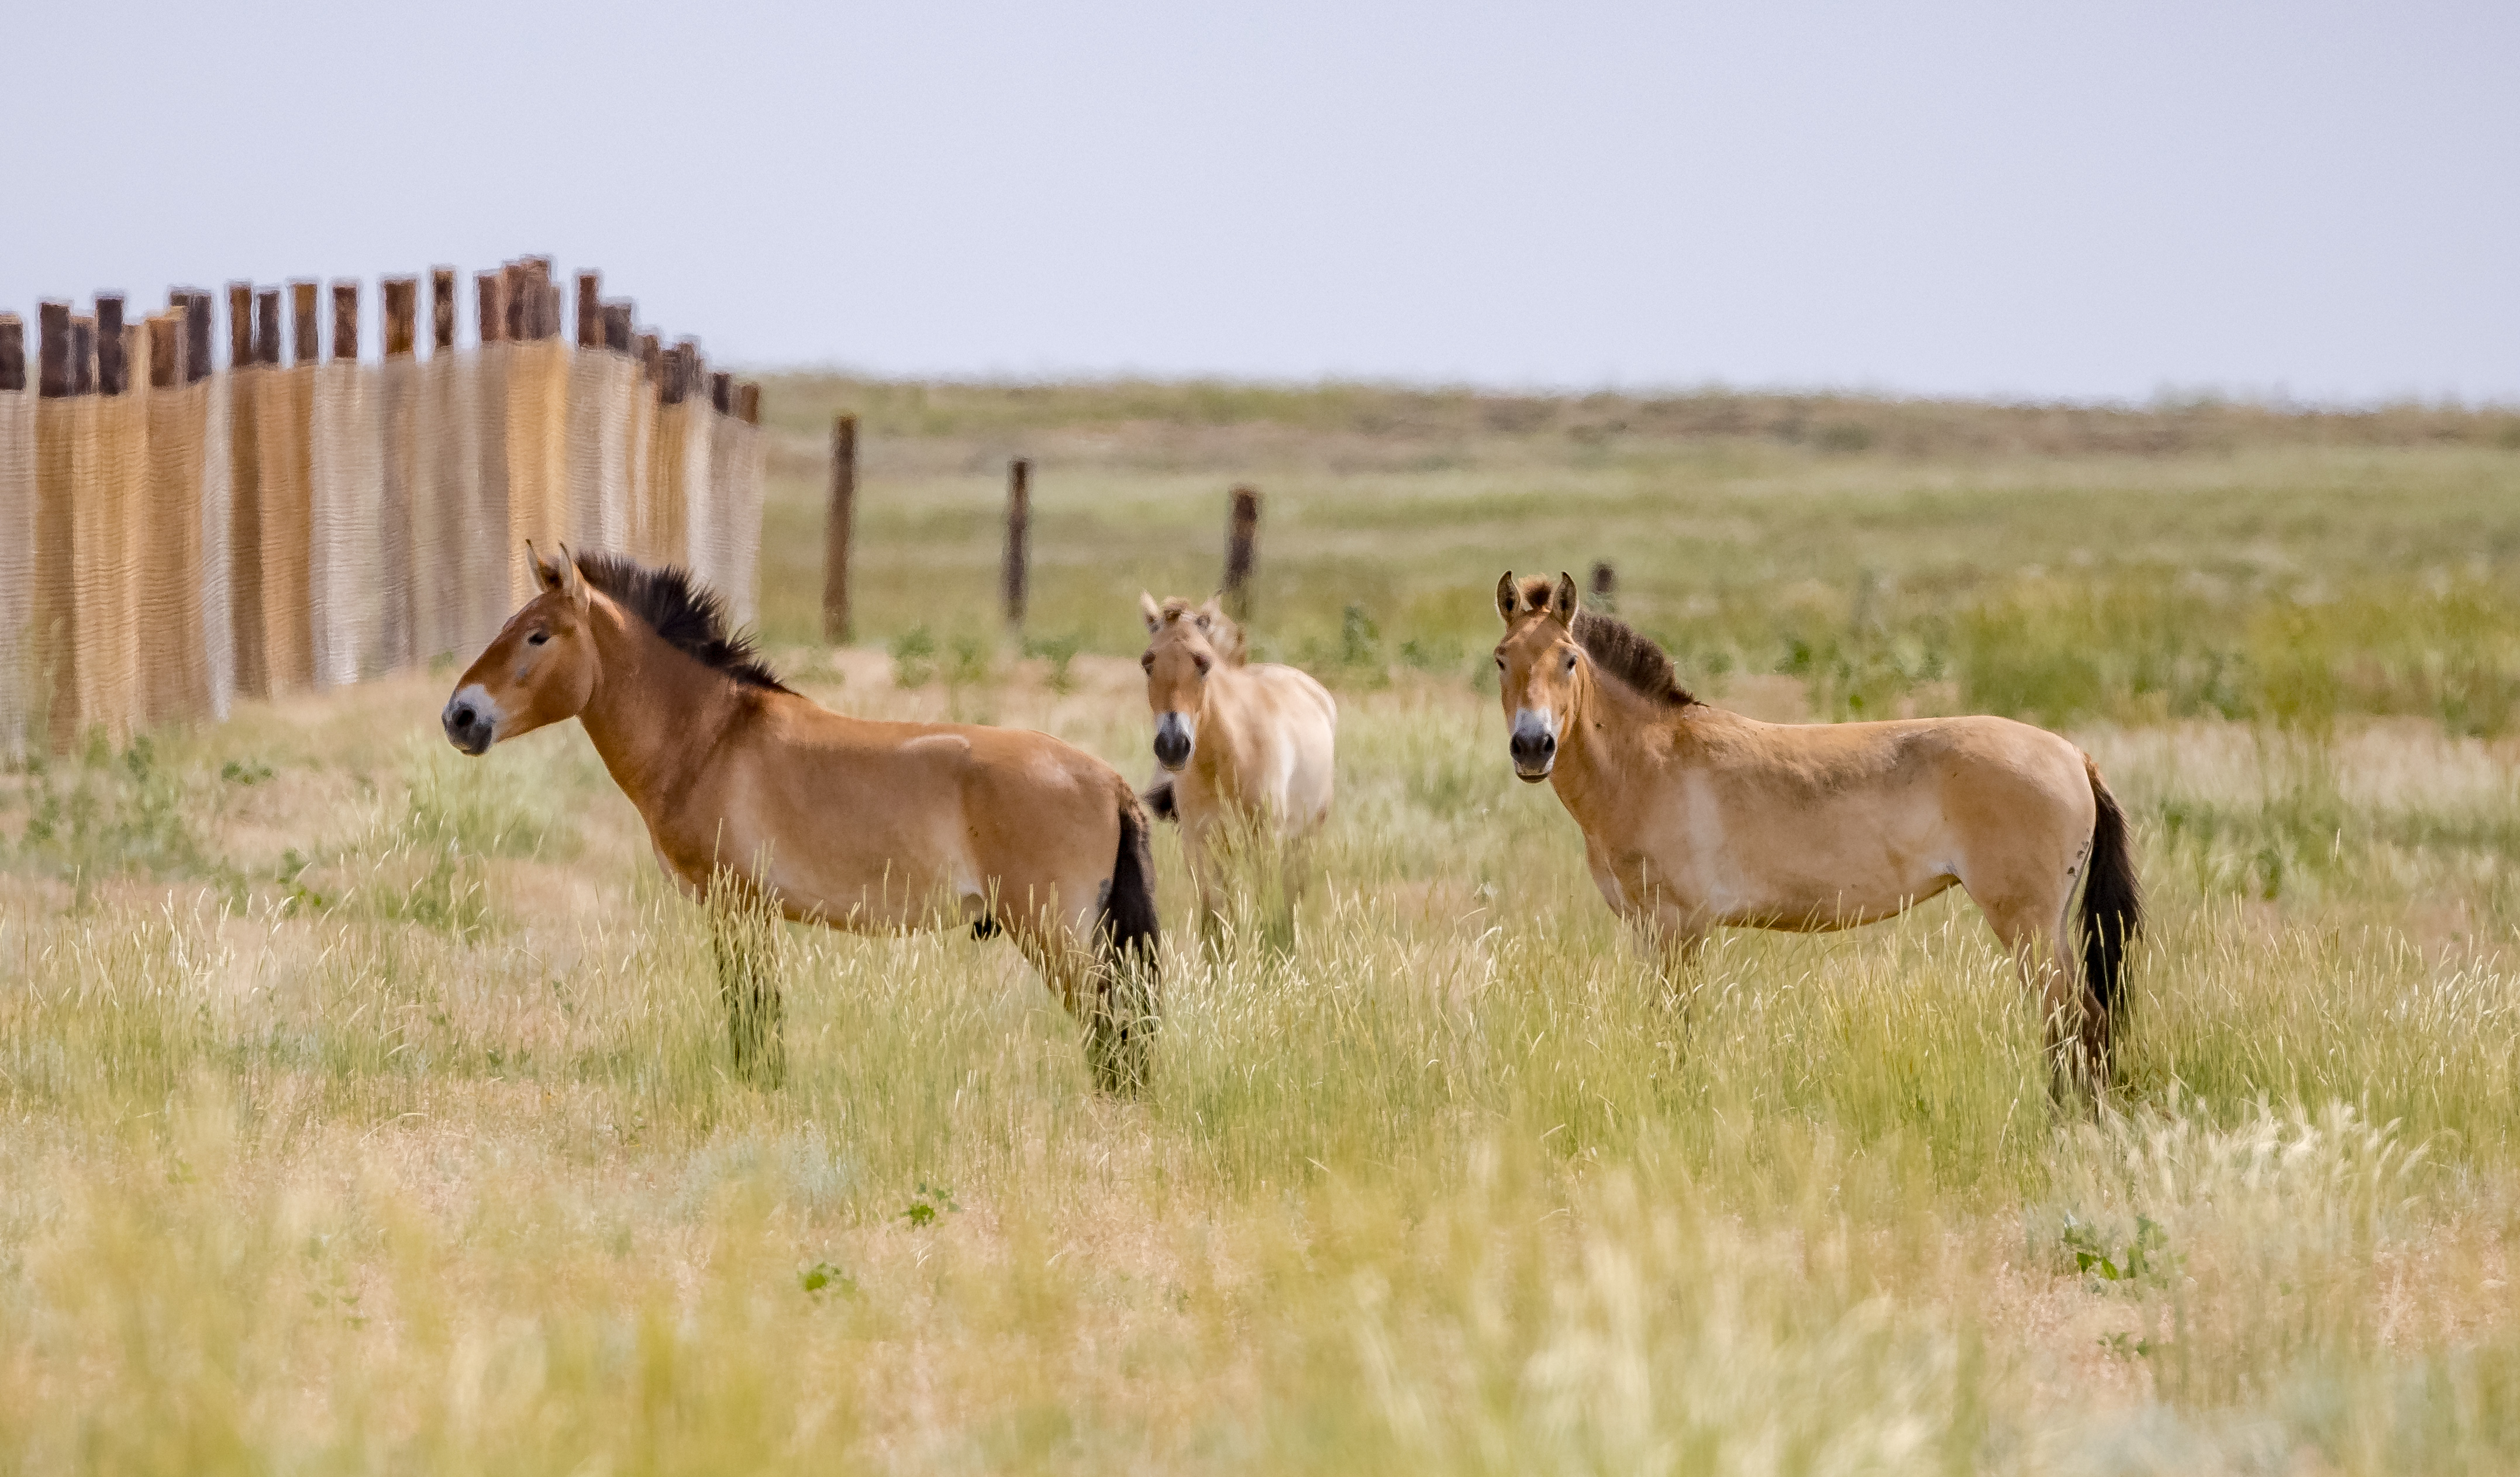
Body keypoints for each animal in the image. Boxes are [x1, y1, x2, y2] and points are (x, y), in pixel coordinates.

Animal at [443, 547, 1159, 1089]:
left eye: (538, 635)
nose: (460, 716)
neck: (710, 740)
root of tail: (1110, 781)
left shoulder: (736, 906)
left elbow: (752, 1011)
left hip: (1057, 938)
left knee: (1111, 1033)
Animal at [1491, 570, 2147, 1089]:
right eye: (1502, 659)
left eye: (1568, 659)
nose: (1531, 746)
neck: (1649, 761)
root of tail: (2072, 755)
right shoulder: (1646, 931)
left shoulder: (1679, 929)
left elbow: (1676, 1029)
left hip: (2028, 926)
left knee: (2077, 1024)